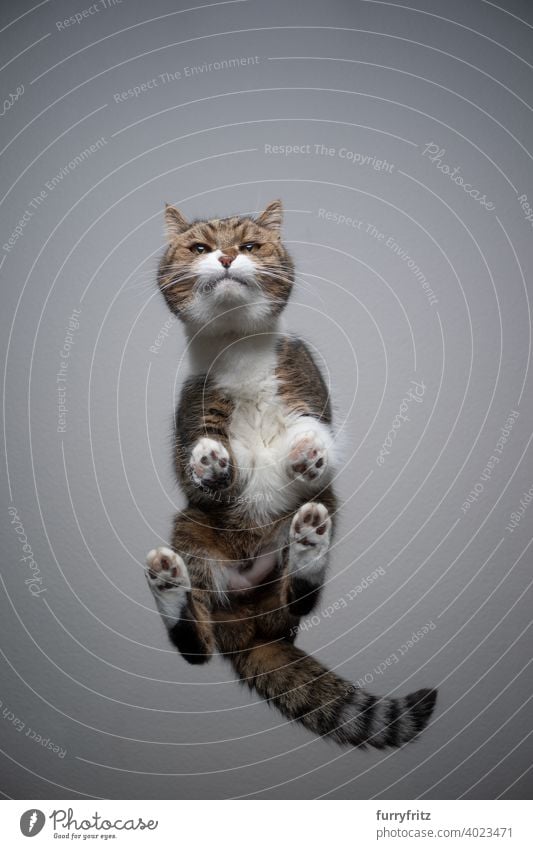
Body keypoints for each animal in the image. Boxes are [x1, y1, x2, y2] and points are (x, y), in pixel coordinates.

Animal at [145, 202, 436, 744]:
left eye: (250, 245)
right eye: (199, 248)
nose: (226, 255)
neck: (239, 348)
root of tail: (250, 625)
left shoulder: (306, 385)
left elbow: (315, 434)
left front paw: (306, 451)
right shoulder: (192, 409)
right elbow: (202, 463)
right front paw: (210, 458)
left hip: (322, 513)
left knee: (300, 601)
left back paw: (308, 544)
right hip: (191, 529)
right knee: (197, 646)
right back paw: (169, 581)